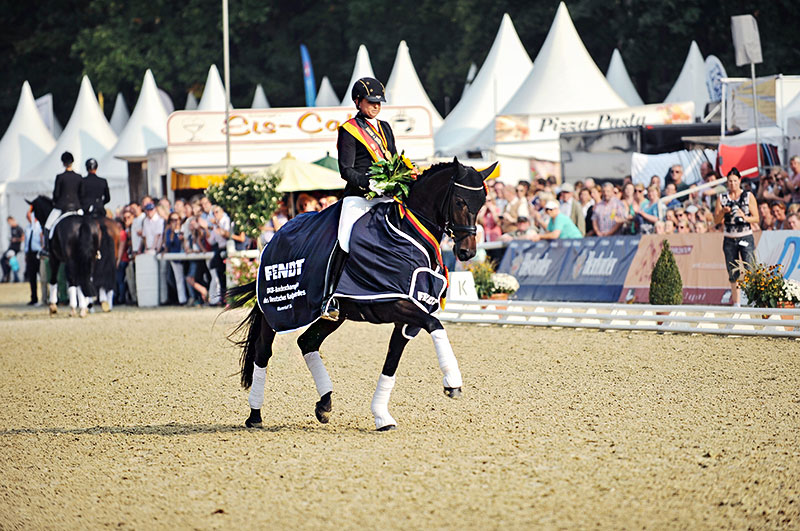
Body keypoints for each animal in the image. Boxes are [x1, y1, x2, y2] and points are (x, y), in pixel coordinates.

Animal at [225, 159, 494, 432]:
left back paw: (324, 404)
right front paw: (453, 382)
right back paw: (255, 415)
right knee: (263, 352)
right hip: (279, 311)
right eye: (460, 201)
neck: (408, 232)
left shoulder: (407, 314)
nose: (467, 252)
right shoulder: (392, 304)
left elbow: (392, 361)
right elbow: (435, 324)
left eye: (482, 203)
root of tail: (276, 236)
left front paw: (382, 416)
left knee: (307, 342)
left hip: (335, 315)